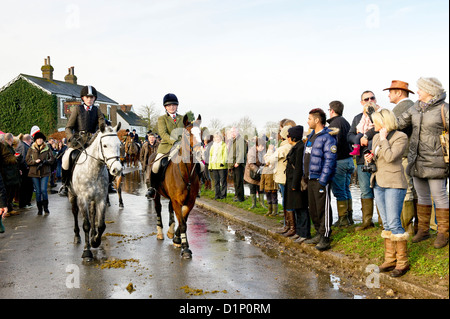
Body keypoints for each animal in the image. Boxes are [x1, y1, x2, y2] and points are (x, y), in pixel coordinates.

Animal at [68, 122, 123, 260]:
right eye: (105, 145)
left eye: (119, 144)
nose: (117, 170)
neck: (93, 169)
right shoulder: (82, 200)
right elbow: (86, 225)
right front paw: (87, 251)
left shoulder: (101, 199)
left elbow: (101, 225)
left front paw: (95, 241)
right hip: (72, 195)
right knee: (75, 212)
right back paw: (77, 236)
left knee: (93, 214)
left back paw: (93, 234)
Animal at [152, 115, 203, 260]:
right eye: (187, 134)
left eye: (201, 133)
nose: (200, 153)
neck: (186, 172)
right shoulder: (177, 201)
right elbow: (183, 223)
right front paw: (185, 249)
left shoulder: (190, 201)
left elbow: (183, 220)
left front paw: (177, 239)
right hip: (157, 194)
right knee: (158, 208)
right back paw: (160, 232)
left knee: (170, 208)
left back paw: (170, 231)